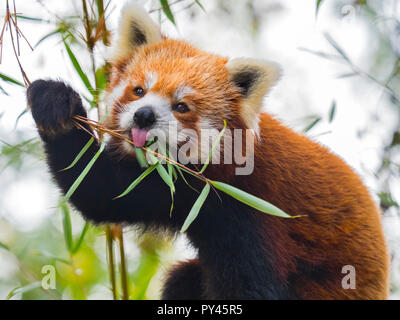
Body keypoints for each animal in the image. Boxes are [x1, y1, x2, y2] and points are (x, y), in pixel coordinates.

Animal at [27, 3, 388, 300]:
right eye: (138, 90)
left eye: (181, 106)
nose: (144, 115)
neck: (212, 182)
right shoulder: (171, 188)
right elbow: (102, 191)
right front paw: (54, 106)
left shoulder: (252, 214)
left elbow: (252, 288)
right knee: (183, 277)